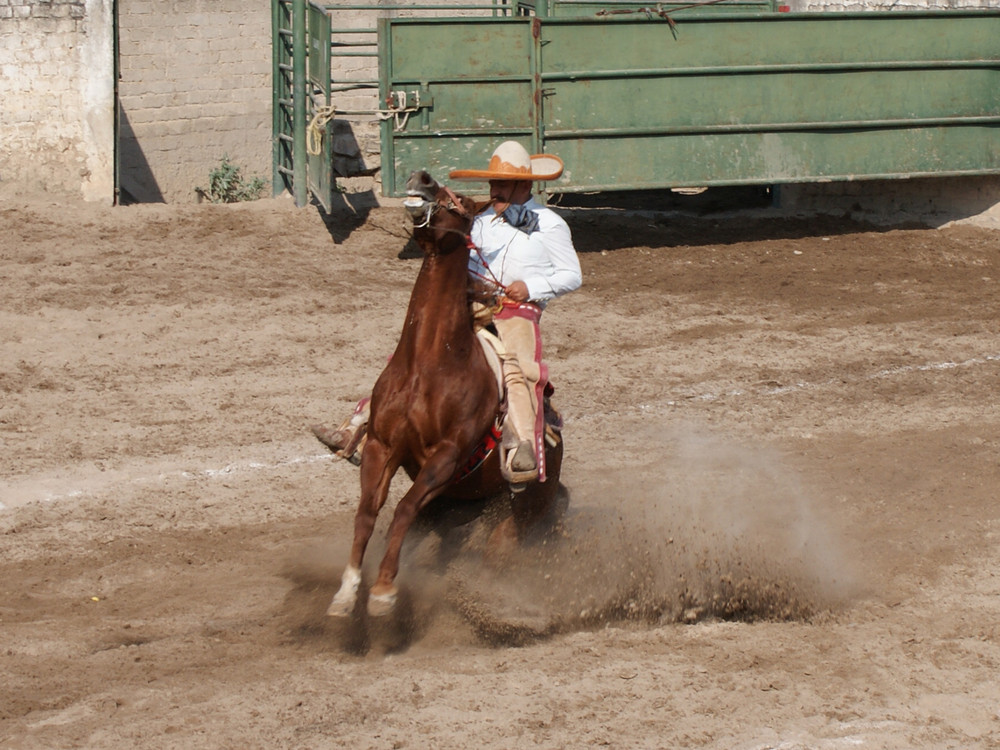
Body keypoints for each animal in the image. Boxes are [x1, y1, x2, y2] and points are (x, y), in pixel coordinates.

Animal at [326, 173, 564, 620]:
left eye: (463, 204)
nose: (423, 178)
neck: (430, 363)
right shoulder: (382, 446)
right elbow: (368, 514)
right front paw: (347, 591)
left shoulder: (447, 455)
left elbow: (402, 508)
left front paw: (383, 590)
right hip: (451, 505)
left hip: (519, 515)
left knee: (499, 551)